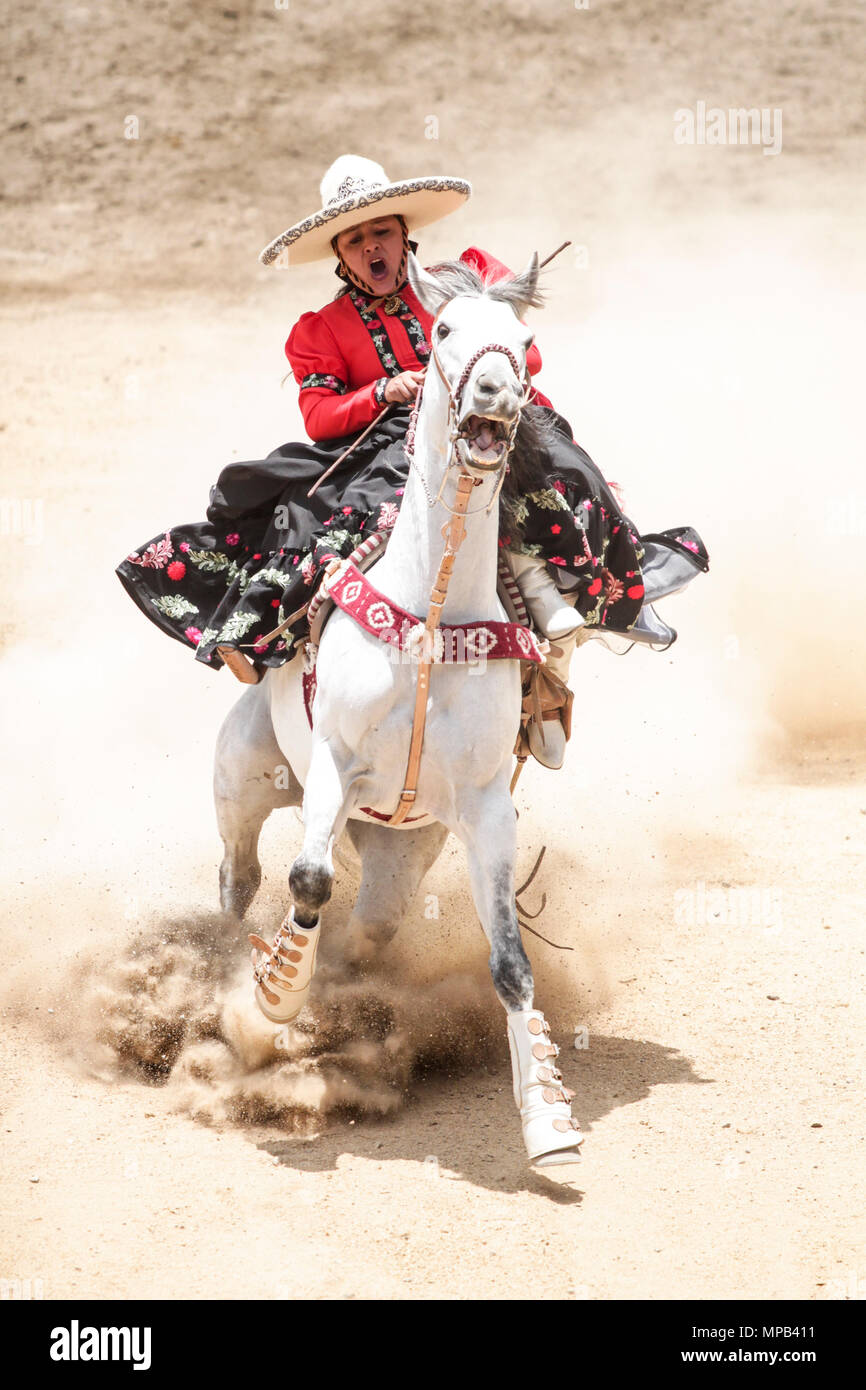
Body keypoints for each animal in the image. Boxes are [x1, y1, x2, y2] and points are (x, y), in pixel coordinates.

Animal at [214, 255, 586, 1167]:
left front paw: (548, 1121)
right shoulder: (332, 766)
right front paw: (276, 995)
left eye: (525, 339)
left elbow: (512, 965)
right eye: (444, 329)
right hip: (242, 778)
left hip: (400, 847)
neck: (430, 609)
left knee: (371, 924)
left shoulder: (485, 809)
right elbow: (307, 876)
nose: (496, 391)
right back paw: (237, 971)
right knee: (243, 877)